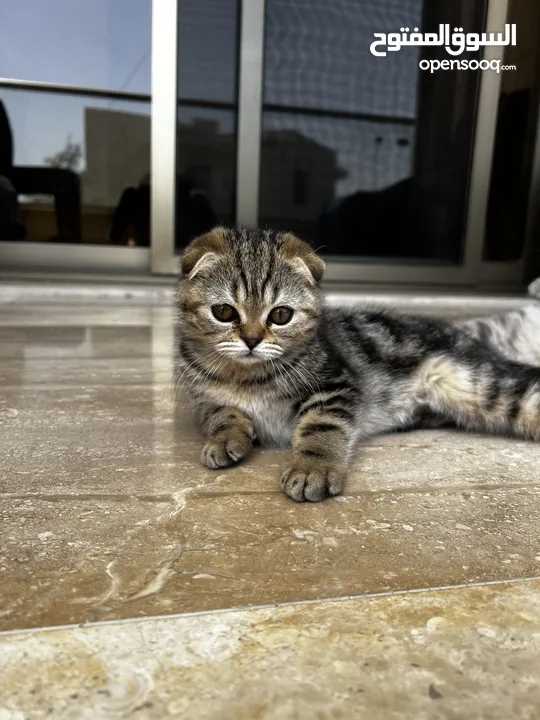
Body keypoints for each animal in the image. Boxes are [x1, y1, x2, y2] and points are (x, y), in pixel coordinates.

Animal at [176, 228, 540, 504]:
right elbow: (221, 412)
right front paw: (226, 437)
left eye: (281, 315)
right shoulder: (201, 397)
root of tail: (467, 337)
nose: (251, 340)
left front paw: (313, 468)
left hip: (479, 384)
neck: (245, 376)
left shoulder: (335, 385)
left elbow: (322, 426)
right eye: (224, 312)